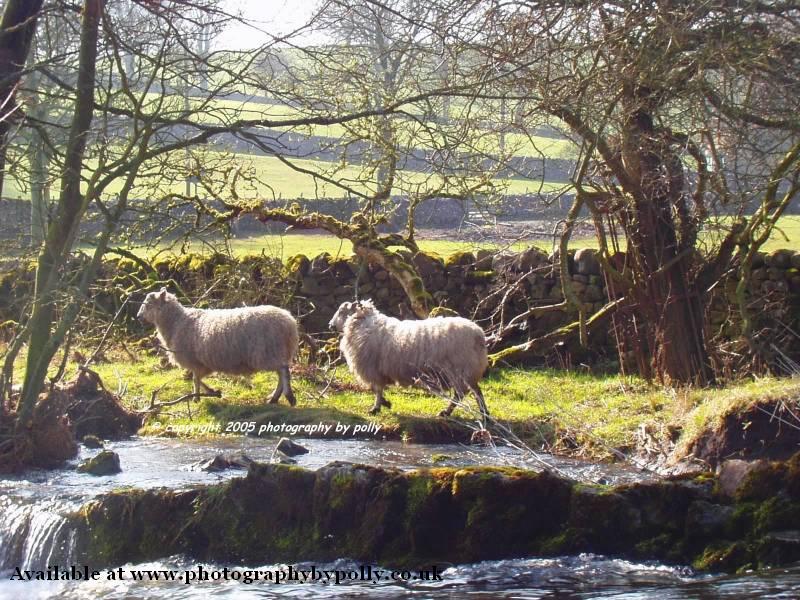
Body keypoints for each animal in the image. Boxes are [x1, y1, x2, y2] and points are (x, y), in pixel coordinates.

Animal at [138, 288, 300, 406]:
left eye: (149, 304)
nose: (138, 316)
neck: (176, 322)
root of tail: (289, 322)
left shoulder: (194, 361)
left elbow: (195, 379)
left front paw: (196, 398)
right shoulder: (202, 363)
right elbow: (198, 378)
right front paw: (212, 391)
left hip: (267, 352)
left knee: (284, 371)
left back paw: (289, 397)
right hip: (277, 352)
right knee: (281, 374)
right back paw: (274, 398)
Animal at [330, 298, 490, 420]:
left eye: (342, 311)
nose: (330, 325)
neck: (362, 323)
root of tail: (479, 335)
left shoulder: (372, 369)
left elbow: (376, 389)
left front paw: (377, 407)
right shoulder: (377, 370)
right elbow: (377, 389)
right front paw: (385, 403)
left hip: (460, 370)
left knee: (462, 394)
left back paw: (447, 412)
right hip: (468, 371)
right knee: (477, 392)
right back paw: (485, 415)